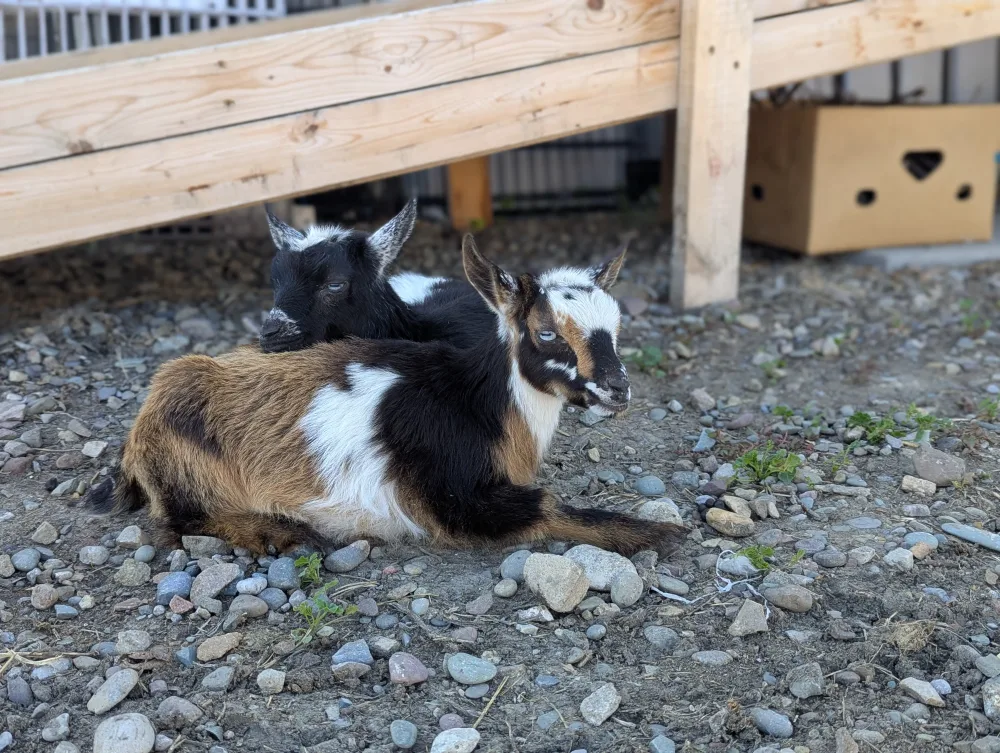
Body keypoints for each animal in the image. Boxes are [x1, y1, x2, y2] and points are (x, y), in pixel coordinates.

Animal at [85, 235, 685, 556]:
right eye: (545, 333)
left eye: (617, 325)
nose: (618, 389)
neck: (480, 403)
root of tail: (139, 432)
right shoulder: (455, 501)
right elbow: (548, 507)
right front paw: (662, 532)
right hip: (186, 468)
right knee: (178, 519)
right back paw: (283, 532)